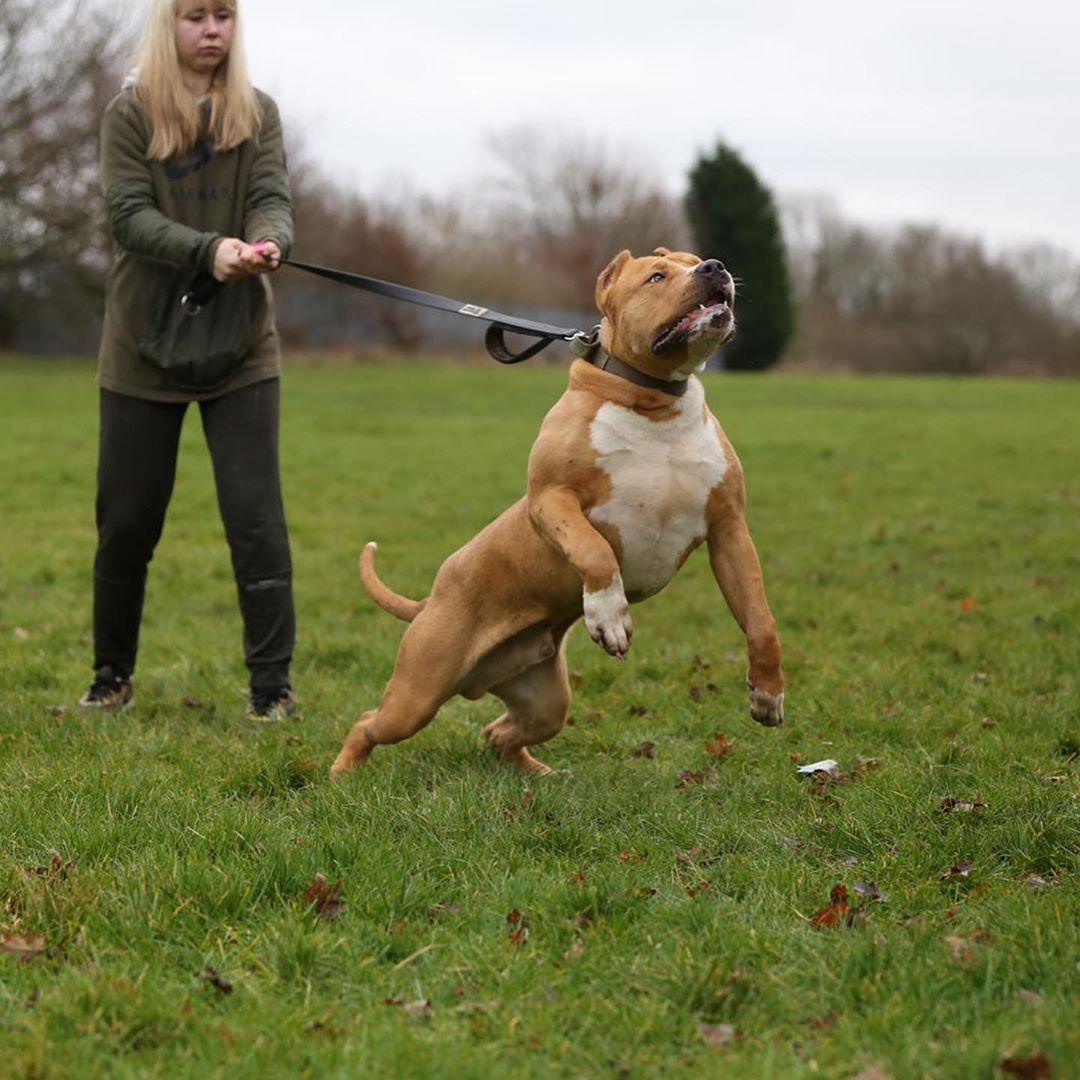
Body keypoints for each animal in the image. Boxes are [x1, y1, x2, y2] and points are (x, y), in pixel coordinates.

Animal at [330, 247, 785, 778]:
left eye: (693, 261)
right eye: (656, 277)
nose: (714, 267)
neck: (655, 404)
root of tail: (429, 601)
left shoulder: (729, 530)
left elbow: (760, 618)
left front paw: (767, 695)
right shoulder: (550, 498)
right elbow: (593, 550)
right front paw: (610, 616)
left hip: (543, 697)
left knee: (499, 732)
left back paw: (539, 774)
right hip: (417, 691)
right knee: (369, 721)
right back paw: (342, 773)